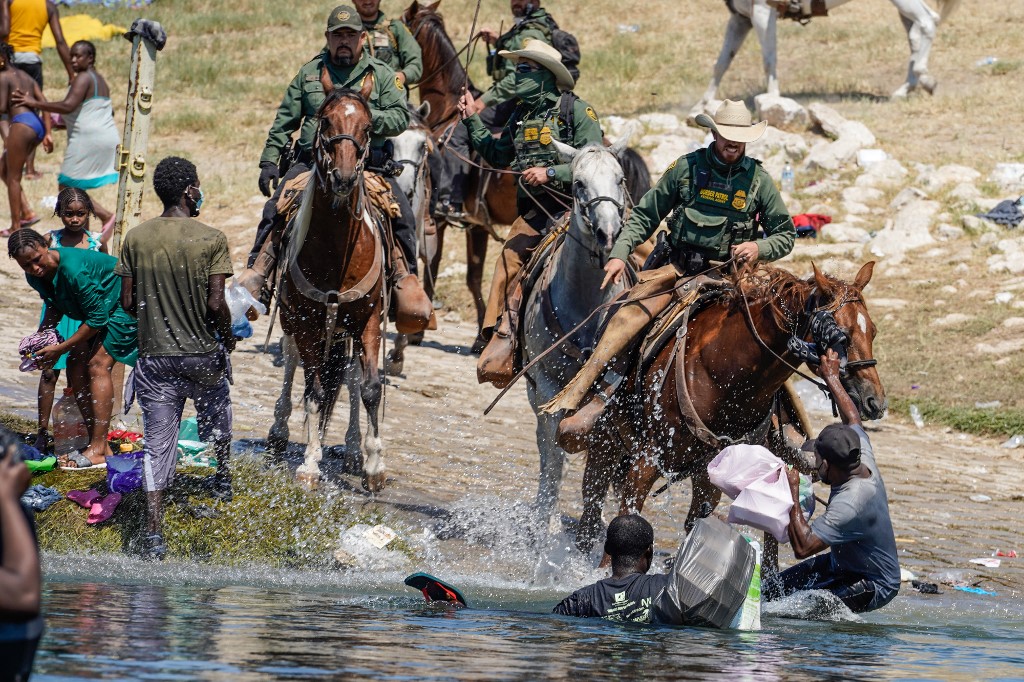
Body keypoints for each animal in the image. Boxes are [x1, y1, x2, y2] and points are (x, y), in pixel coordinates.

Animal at [266, 76, 389, 492]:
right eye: (325, 121)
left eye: (368, 126)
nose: (345, 177)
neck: (337, 253)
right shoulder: (306, 323)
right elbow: (315, 391)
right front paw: (310, 463)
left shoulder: (368, 319)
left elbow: (369, 388)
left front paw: (374, 464)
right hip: (294, 322)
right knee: (291, 365)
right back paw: (279, 433)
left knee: (349, 377)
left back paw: (352, 449)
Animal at [519, 135, 636, 534]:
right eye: (578, 183)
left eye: (620, 179)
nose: (608, 234)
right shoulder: (548, 386)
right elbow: (554, 452)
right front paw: (546, 520)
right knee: (545, 446)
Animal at [576, 261, 886, 553]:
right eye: (841, 335)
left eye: (872, 331)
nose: (876, 401)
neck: (724, 373)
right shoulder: (647, 460)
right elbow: (626, 519)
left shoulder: (708, 475)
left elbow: (695, 527)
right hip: (604, 441)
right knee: (589, 511)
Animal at [699, 0, 962, 107]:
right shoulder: (740, 18)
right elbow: (722, 62)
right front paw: (704, 103)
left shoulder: (763, 12)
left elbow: (768, 59)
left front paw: (772, 99)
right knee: (915, 35)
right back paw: (909, 87)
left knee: (927, 23)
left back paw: (921, 76)